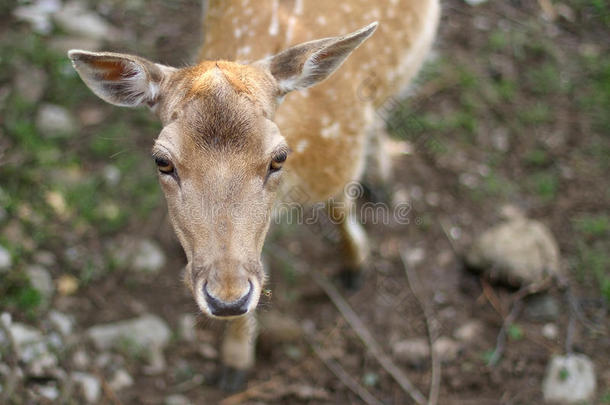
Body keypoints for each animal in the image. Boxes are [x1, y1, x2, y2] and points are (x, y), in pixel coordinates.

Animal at [67, 0, 436, 392]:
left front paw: (355, 265)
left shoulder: (341, 159)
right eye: (162, 161)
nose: (227, 299)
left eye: (279, 157)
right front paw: (235, 363)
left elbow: (339, 206)